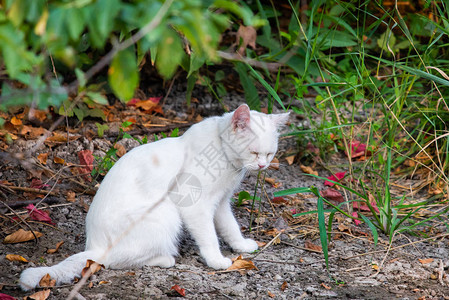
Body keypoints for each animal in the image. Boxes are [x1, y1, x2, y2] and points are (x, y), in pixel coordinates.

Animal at [19, 103, 288, 290]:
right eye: (254, 152)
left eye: (269, 154)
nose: (263, 166)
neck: (223, 153)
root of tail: (94, 245)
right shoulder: (195, 205)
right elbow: (210, 236)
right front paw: (216, 260)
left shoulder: (220, 203)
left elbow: (230, 227)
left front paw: (241, 246)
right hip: (166, 212)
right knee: (115, 261)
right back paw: (166, 259)